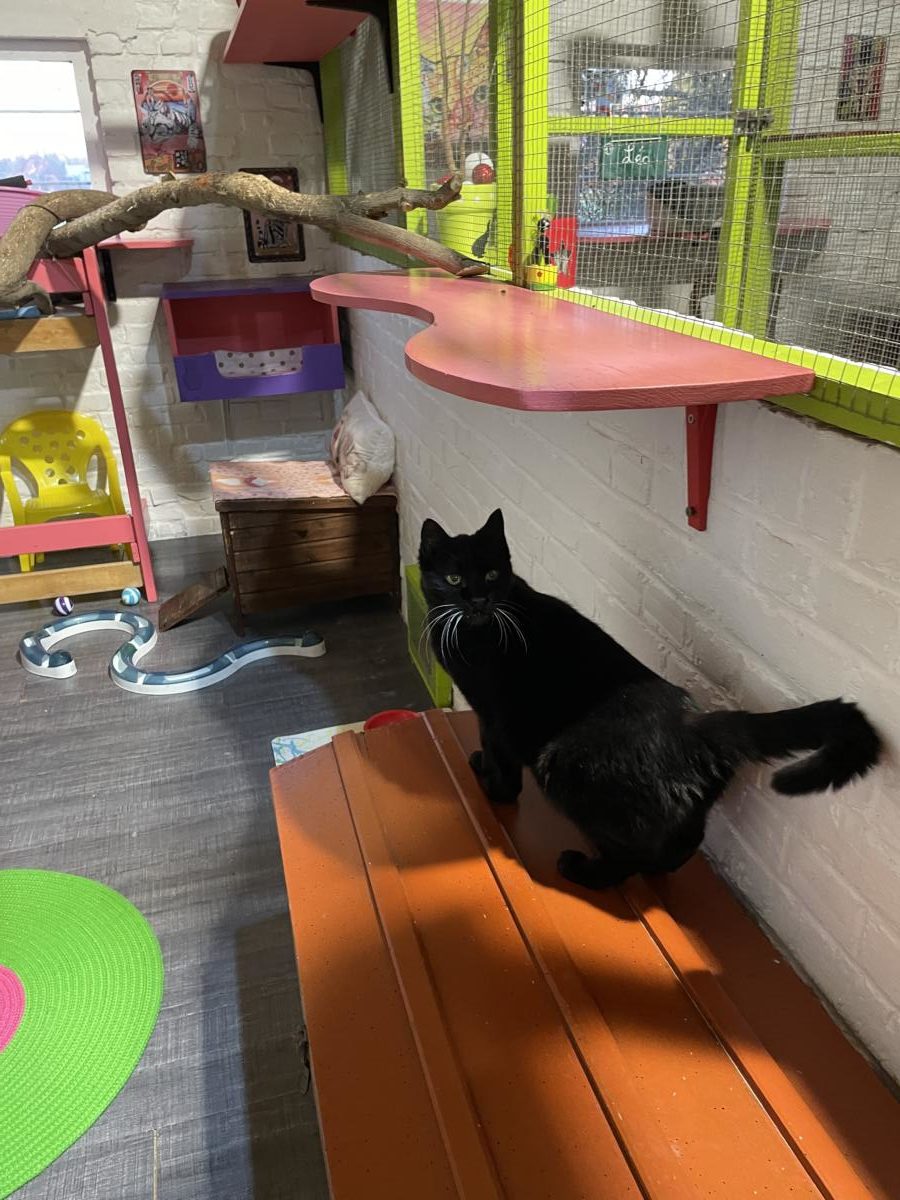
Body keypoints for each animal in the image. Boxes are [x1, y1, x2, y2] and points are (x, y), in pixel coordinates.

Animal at [418, 509, 882, 889]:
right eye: (455, 579)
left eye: (492, 575)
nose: (479, 599)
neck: (475, 628)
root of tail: (696, 725)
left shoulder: (495, 713)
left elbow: (501, 756)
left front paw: (492, 783)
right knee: (685, 840)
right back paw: (661, 868)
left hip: (566, 765)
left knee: (629, 851)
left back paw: (586, 872)